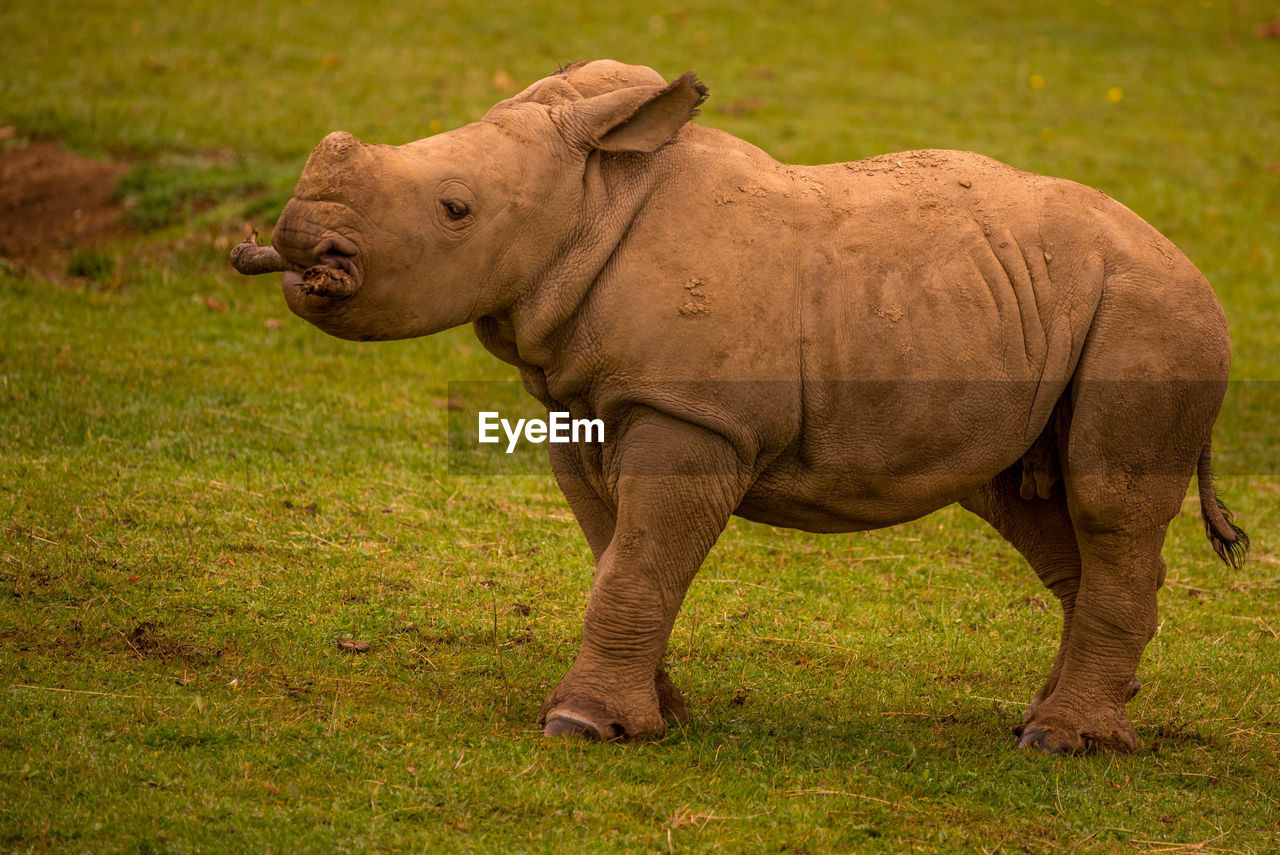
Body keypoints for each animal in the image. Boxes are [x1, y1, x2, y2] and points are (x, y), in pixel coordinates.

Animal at [227, 61, 1239, 752]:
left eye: (454, 209)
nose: (300, 248)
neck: (594, 198)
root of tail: (1196, 269)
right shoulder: (590, 403)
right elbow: (619, 554)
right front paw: (652, 716)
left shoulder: (695, 415)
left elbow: (639, 561)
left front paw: (580, 727)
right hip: (1044, 311)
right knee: (1031, 505)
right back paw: (1060, 720)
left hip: (1151, 314)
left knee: (1107, 500)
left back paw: (1061, 741)